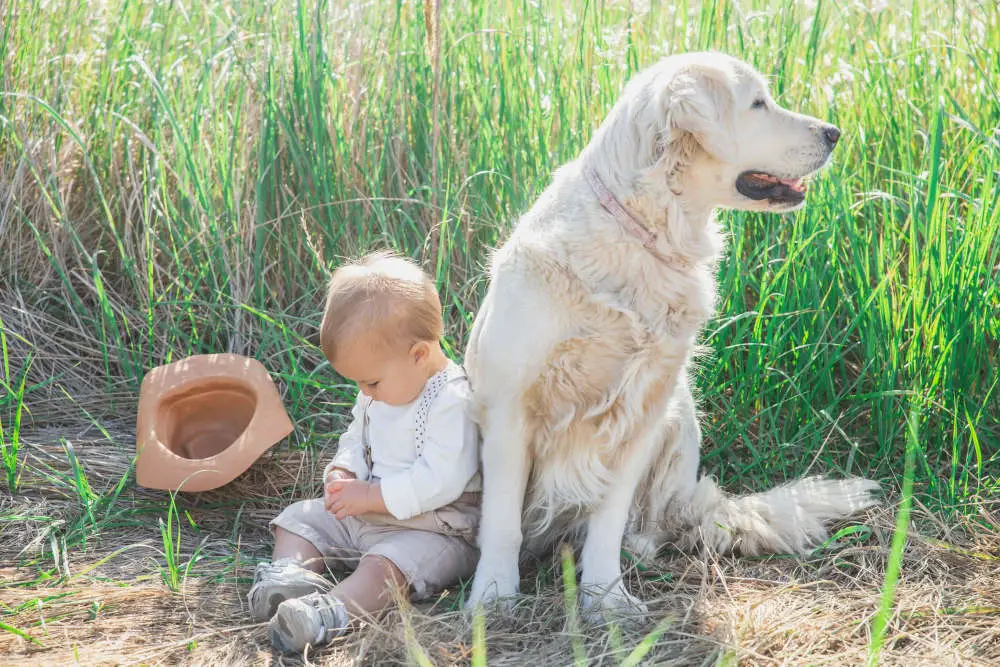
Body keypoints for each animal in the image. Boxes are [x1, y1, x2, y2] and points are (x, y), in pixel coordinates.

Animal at [464, 52, 880, 616]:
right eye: (757, 103)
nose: (835, 133)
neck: (644, 238)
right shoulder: (509, 407)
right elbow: (503, 520)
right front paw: (491, 596)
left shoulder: (643, 408)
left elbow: (608, 518)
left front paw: (607, 597)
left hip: (681, 412)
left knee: (657, 522)